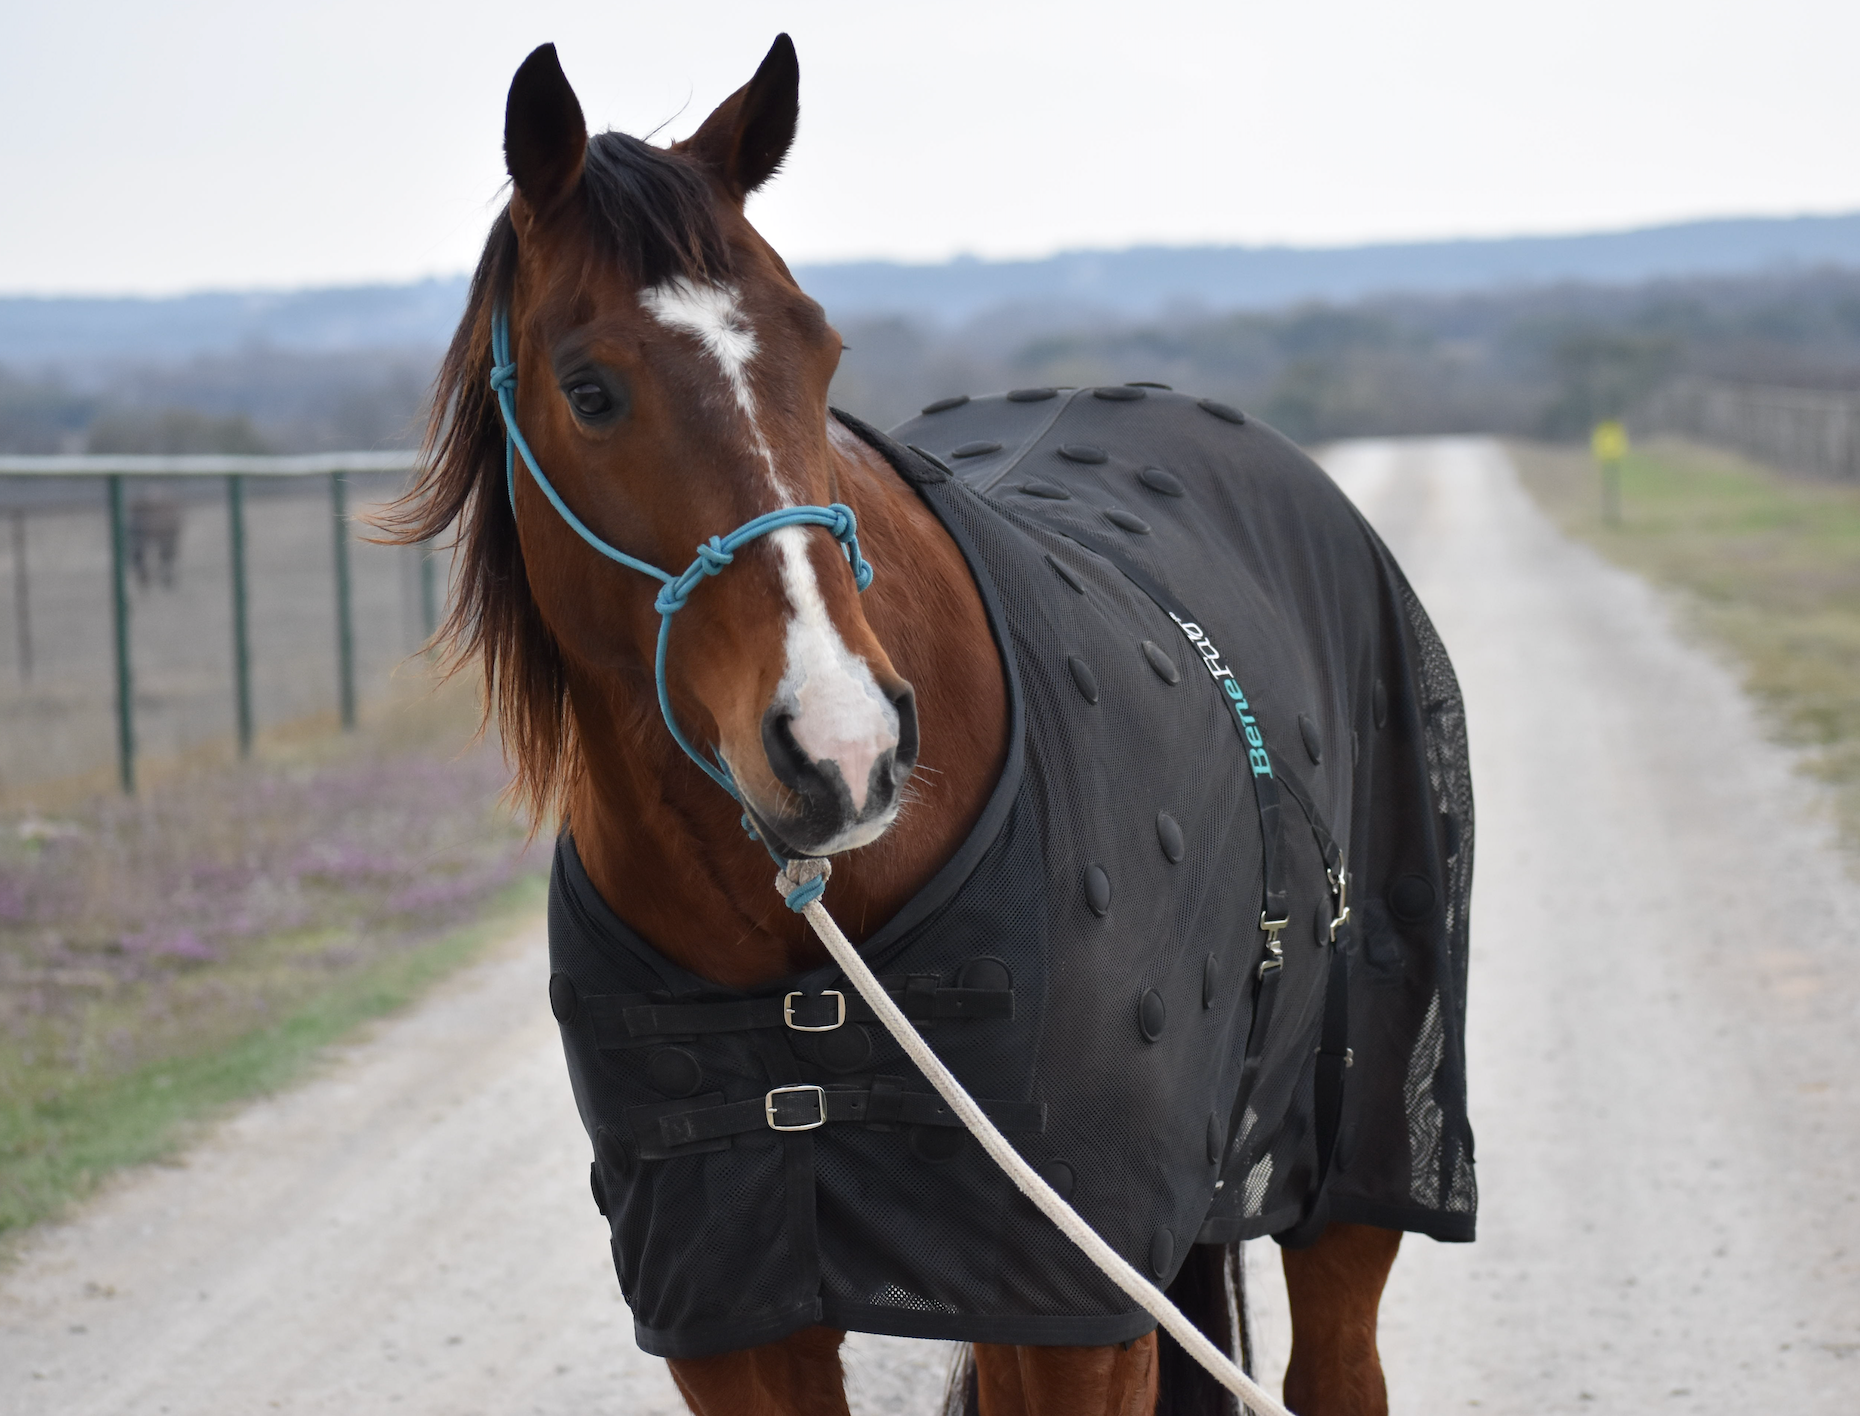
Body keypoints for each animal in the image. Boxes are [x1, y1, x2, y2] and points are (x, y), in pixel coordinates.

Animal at [386, 35, 1474, 1416]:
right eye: (590, 392)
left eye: (819, 350)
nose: (842, 749)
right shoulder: (734, 1321)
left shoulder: (1075, 1309)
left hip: (1345, 1187)